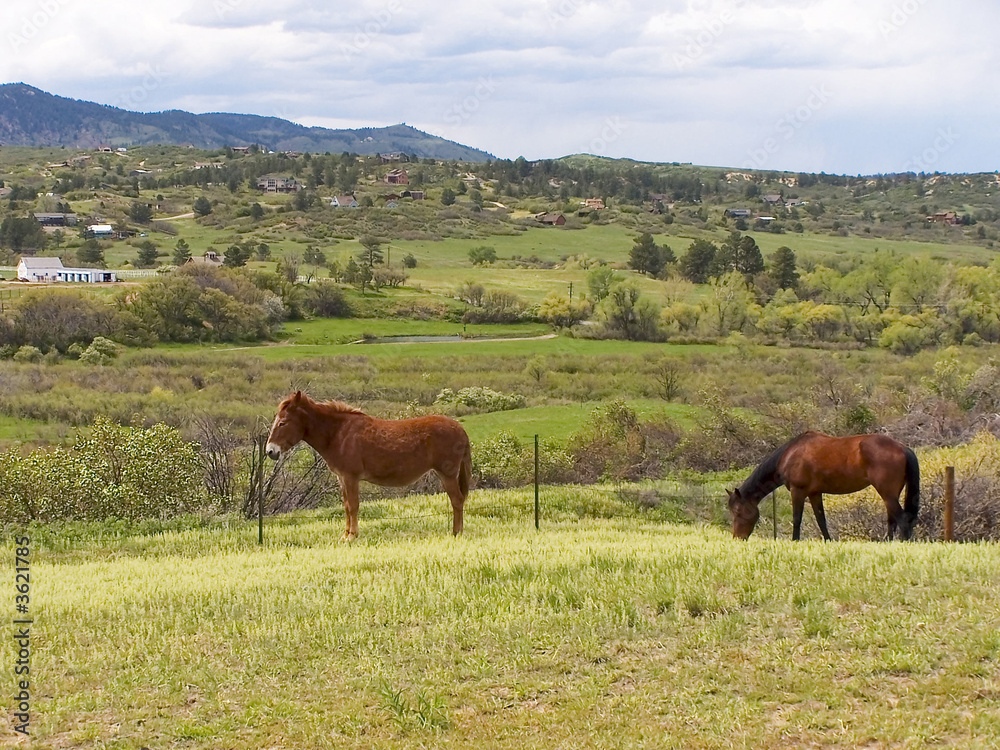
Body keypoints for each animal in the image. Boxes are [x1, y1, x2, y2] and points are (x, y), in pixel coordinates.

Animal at [265, 391, 473, 541]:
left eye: (282, 423)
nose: (270, 451)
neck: (339, 433)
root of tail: (460, 429)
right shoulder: (342, 478)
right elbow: (346, 506)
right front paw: (345, 535)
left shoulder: (350, 477)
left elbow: (353, 506)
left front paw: (352, 536)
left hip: (447, 474)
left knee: (457, 500)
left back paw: (456, 533)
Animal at [726, 431, 920, 541]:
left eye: (738, 511)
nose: (737, 538)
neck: (790, 455)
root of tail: (903, 448)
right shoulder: (815, 493)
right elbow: (821, 520)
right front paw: (828, 541)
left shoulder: (798, 492)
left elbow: (797, 519)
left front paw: (795, 541)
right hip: (891, 494)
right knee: (892, 519)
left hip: (887, 492)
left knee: (902, 519)